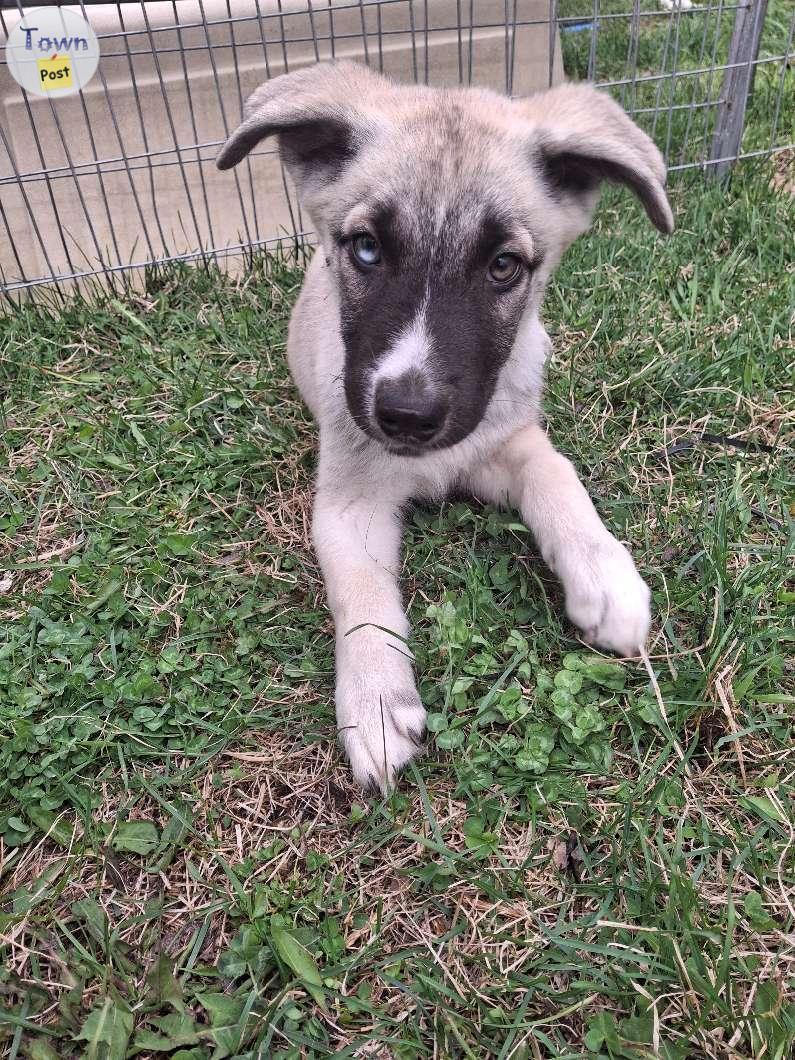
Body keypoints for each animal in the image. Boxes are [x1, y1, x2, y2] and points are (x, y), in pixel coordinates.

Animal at [218, 58, 674, 788]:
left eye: (503, 265)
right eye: (366, 250)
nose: (407, 415)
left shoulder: (503, 439)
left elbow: (557, 474)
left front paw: (603, 576)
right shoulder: (348, 501)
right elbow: (362, 595)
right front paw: (376, 701)